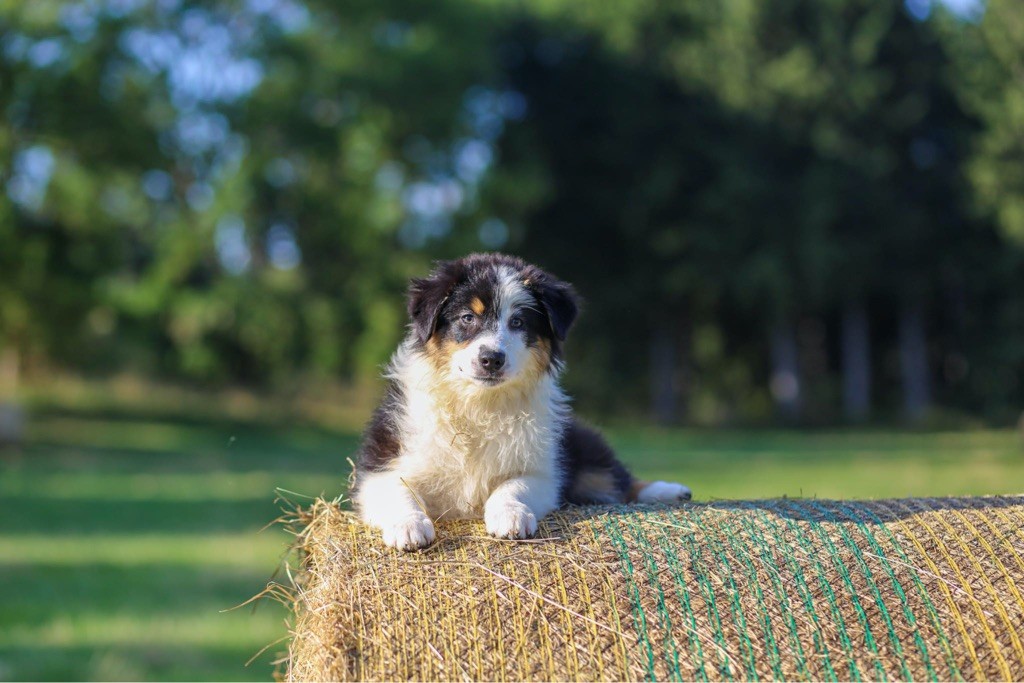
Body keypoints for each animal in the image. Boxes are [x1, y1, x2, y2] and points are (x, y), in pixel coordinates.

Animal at [348, 253, 692, 552]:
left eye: (518, 323)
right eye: (467, 318)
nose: (491, 359)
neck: (478, 403)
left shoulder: (543, 470)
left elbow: (514, 486)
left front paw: (509, 516)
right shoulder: (381, 464)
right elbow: (397, 489)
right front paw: (408, 525)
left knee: (618, 478)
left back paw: (671, 491)